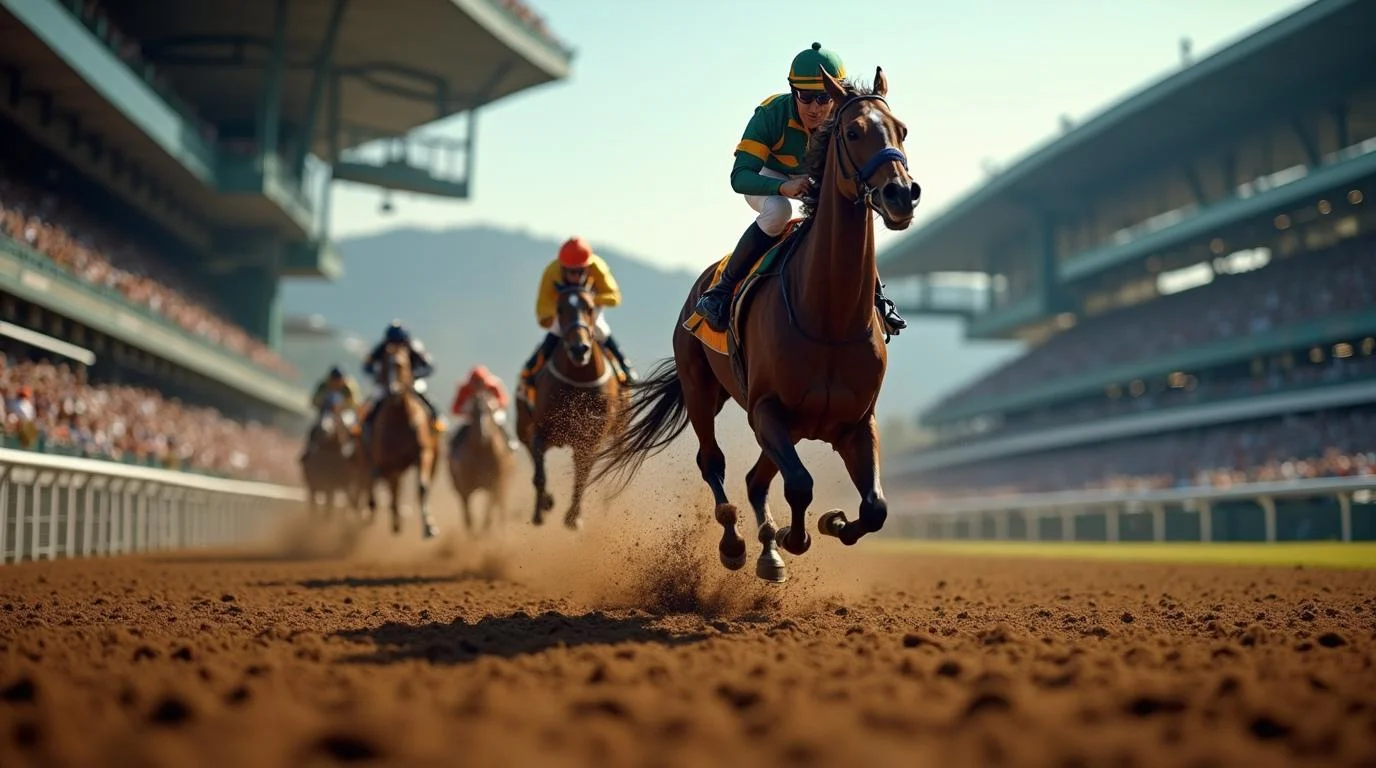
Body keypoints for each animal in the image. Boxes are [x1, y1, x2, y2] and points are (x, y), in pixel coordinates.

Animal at [365, 341, 440, 538]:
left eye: (402, 364)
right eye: (384, 365)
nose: (394, 391)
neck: (399, 417)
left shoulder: (423, 452)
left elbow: (422, 486)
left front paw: (429, 526)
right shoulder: (388, 463)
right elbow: (391, 491)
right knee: (387, 488)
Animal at [448, 389, 516, 535]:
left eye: (490, 410)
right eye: (473, 412)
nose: (483, 436)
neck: (481, 454)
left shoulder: (495, 484)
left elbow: (488, 514)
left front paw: (484, 534)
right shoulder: (464, 489)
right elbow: (469, 519)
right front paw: (474, 537)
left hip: (503, 484)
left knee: (501, 507)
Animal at [515, 284, 626, 530]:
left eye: (591, 308)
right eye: (559, 308)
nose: (579, 349)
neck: (578, 380)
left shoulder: (591, 440)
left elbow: (582, 475)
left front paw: (573, 517)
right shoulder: (541, 431)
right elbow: (539, 474)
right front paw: (540, 510)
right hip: (523, 428)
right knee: (532, 457)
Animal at [588, 68, 920, 583]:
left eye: (901, 130)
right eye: (852, 132)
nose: (900, 194)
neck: (829, 316)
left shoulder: (855, 422)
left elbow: (875, 508)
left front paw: (829, 523)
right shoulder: (766, 410)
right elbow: (800, 484)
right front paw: (793, 536)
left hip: (790, 426)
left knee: (755, 479)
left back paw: (768, 548)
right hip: (702, 389)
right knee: (715, 463)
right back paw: (738, 543)